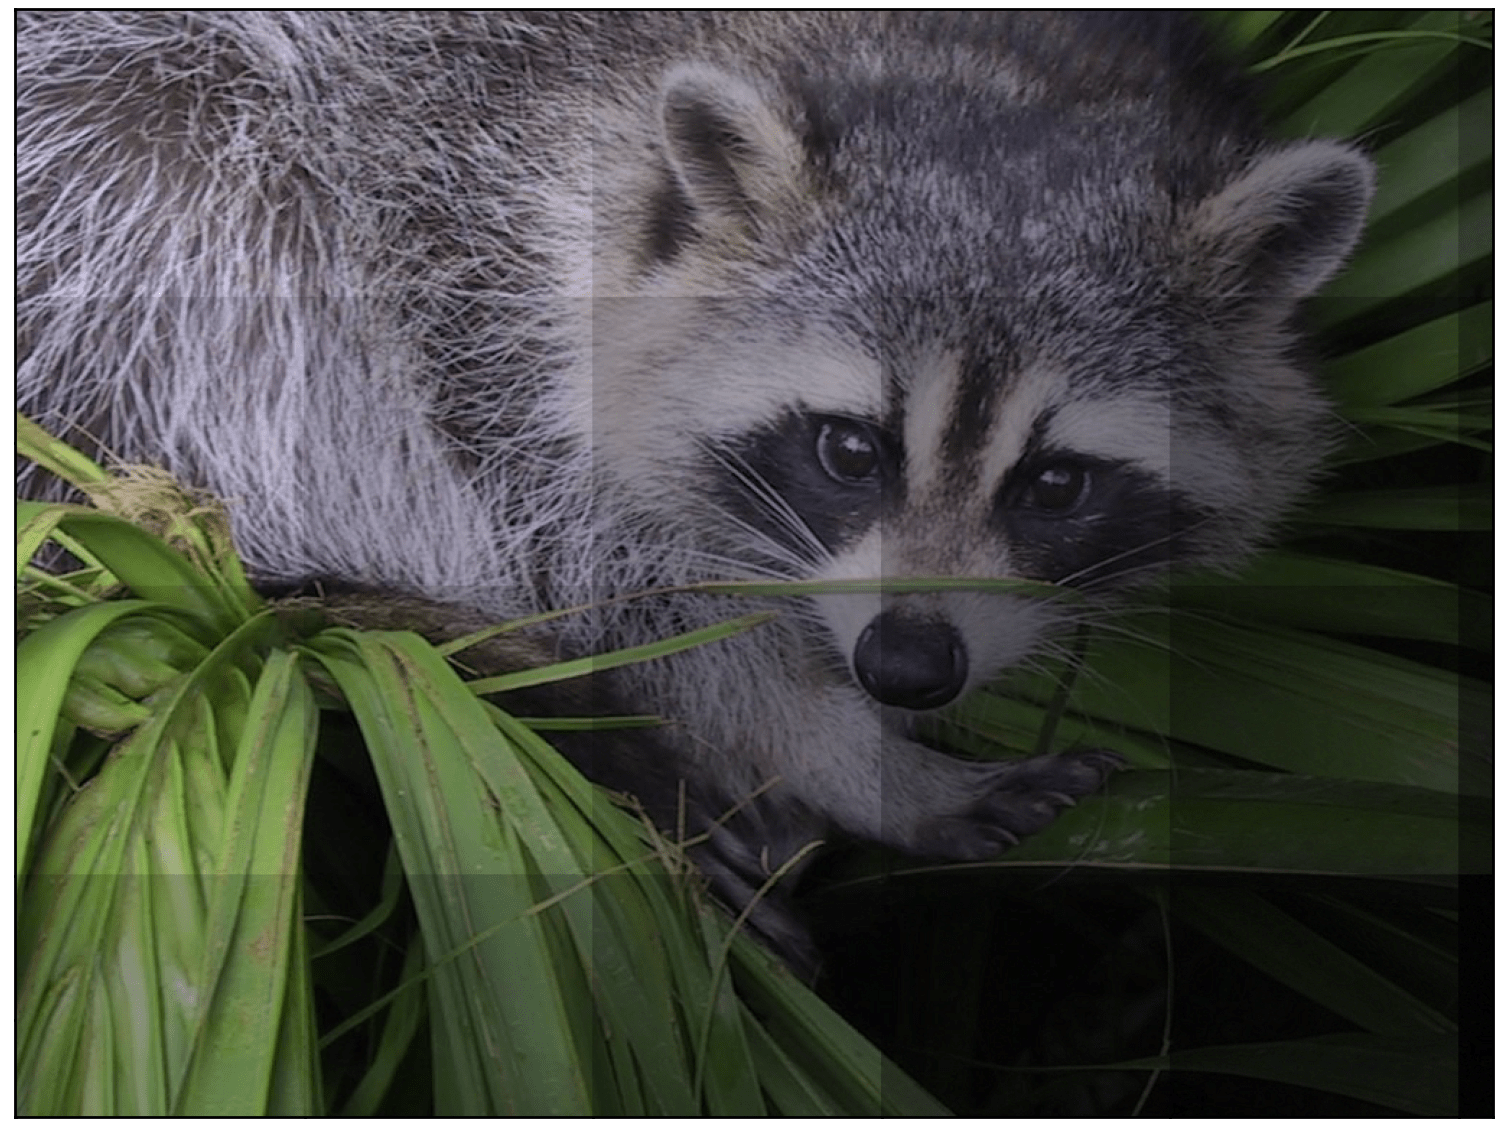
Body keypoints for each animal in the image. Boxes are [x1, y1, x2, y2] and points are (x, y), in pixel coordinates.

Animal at [18, 12, 1373, 962]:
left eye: (1054, 482)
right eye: (848, 450)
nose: (906, 666)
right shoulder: (460, 231)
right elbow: (616, 580)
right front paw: (851, 759)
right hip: (130, 164)